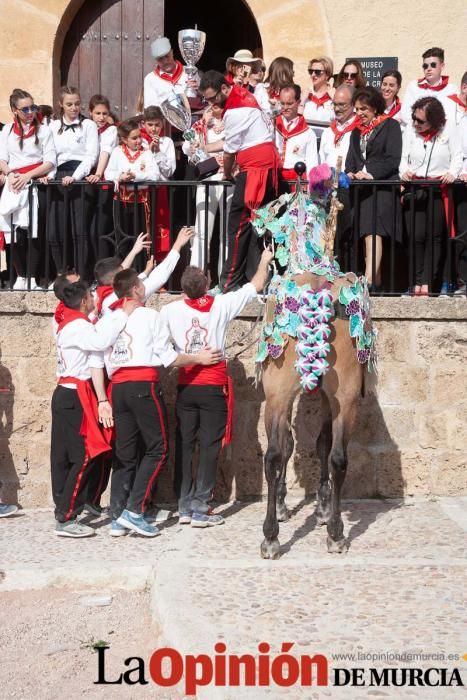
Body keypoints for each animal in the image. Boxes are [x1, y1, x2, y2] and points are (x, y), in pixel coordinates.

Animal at [254, 163, 378, 556]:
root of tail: (315, 294)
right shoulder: (328, 396)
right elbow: (320, 444)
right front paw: (321, 507)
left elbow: (297, 446)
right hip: (342, 395)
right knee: (335, 455)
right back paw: (334, 531)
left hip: (282, 394)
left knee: (276, 454)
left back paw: (274, 534)